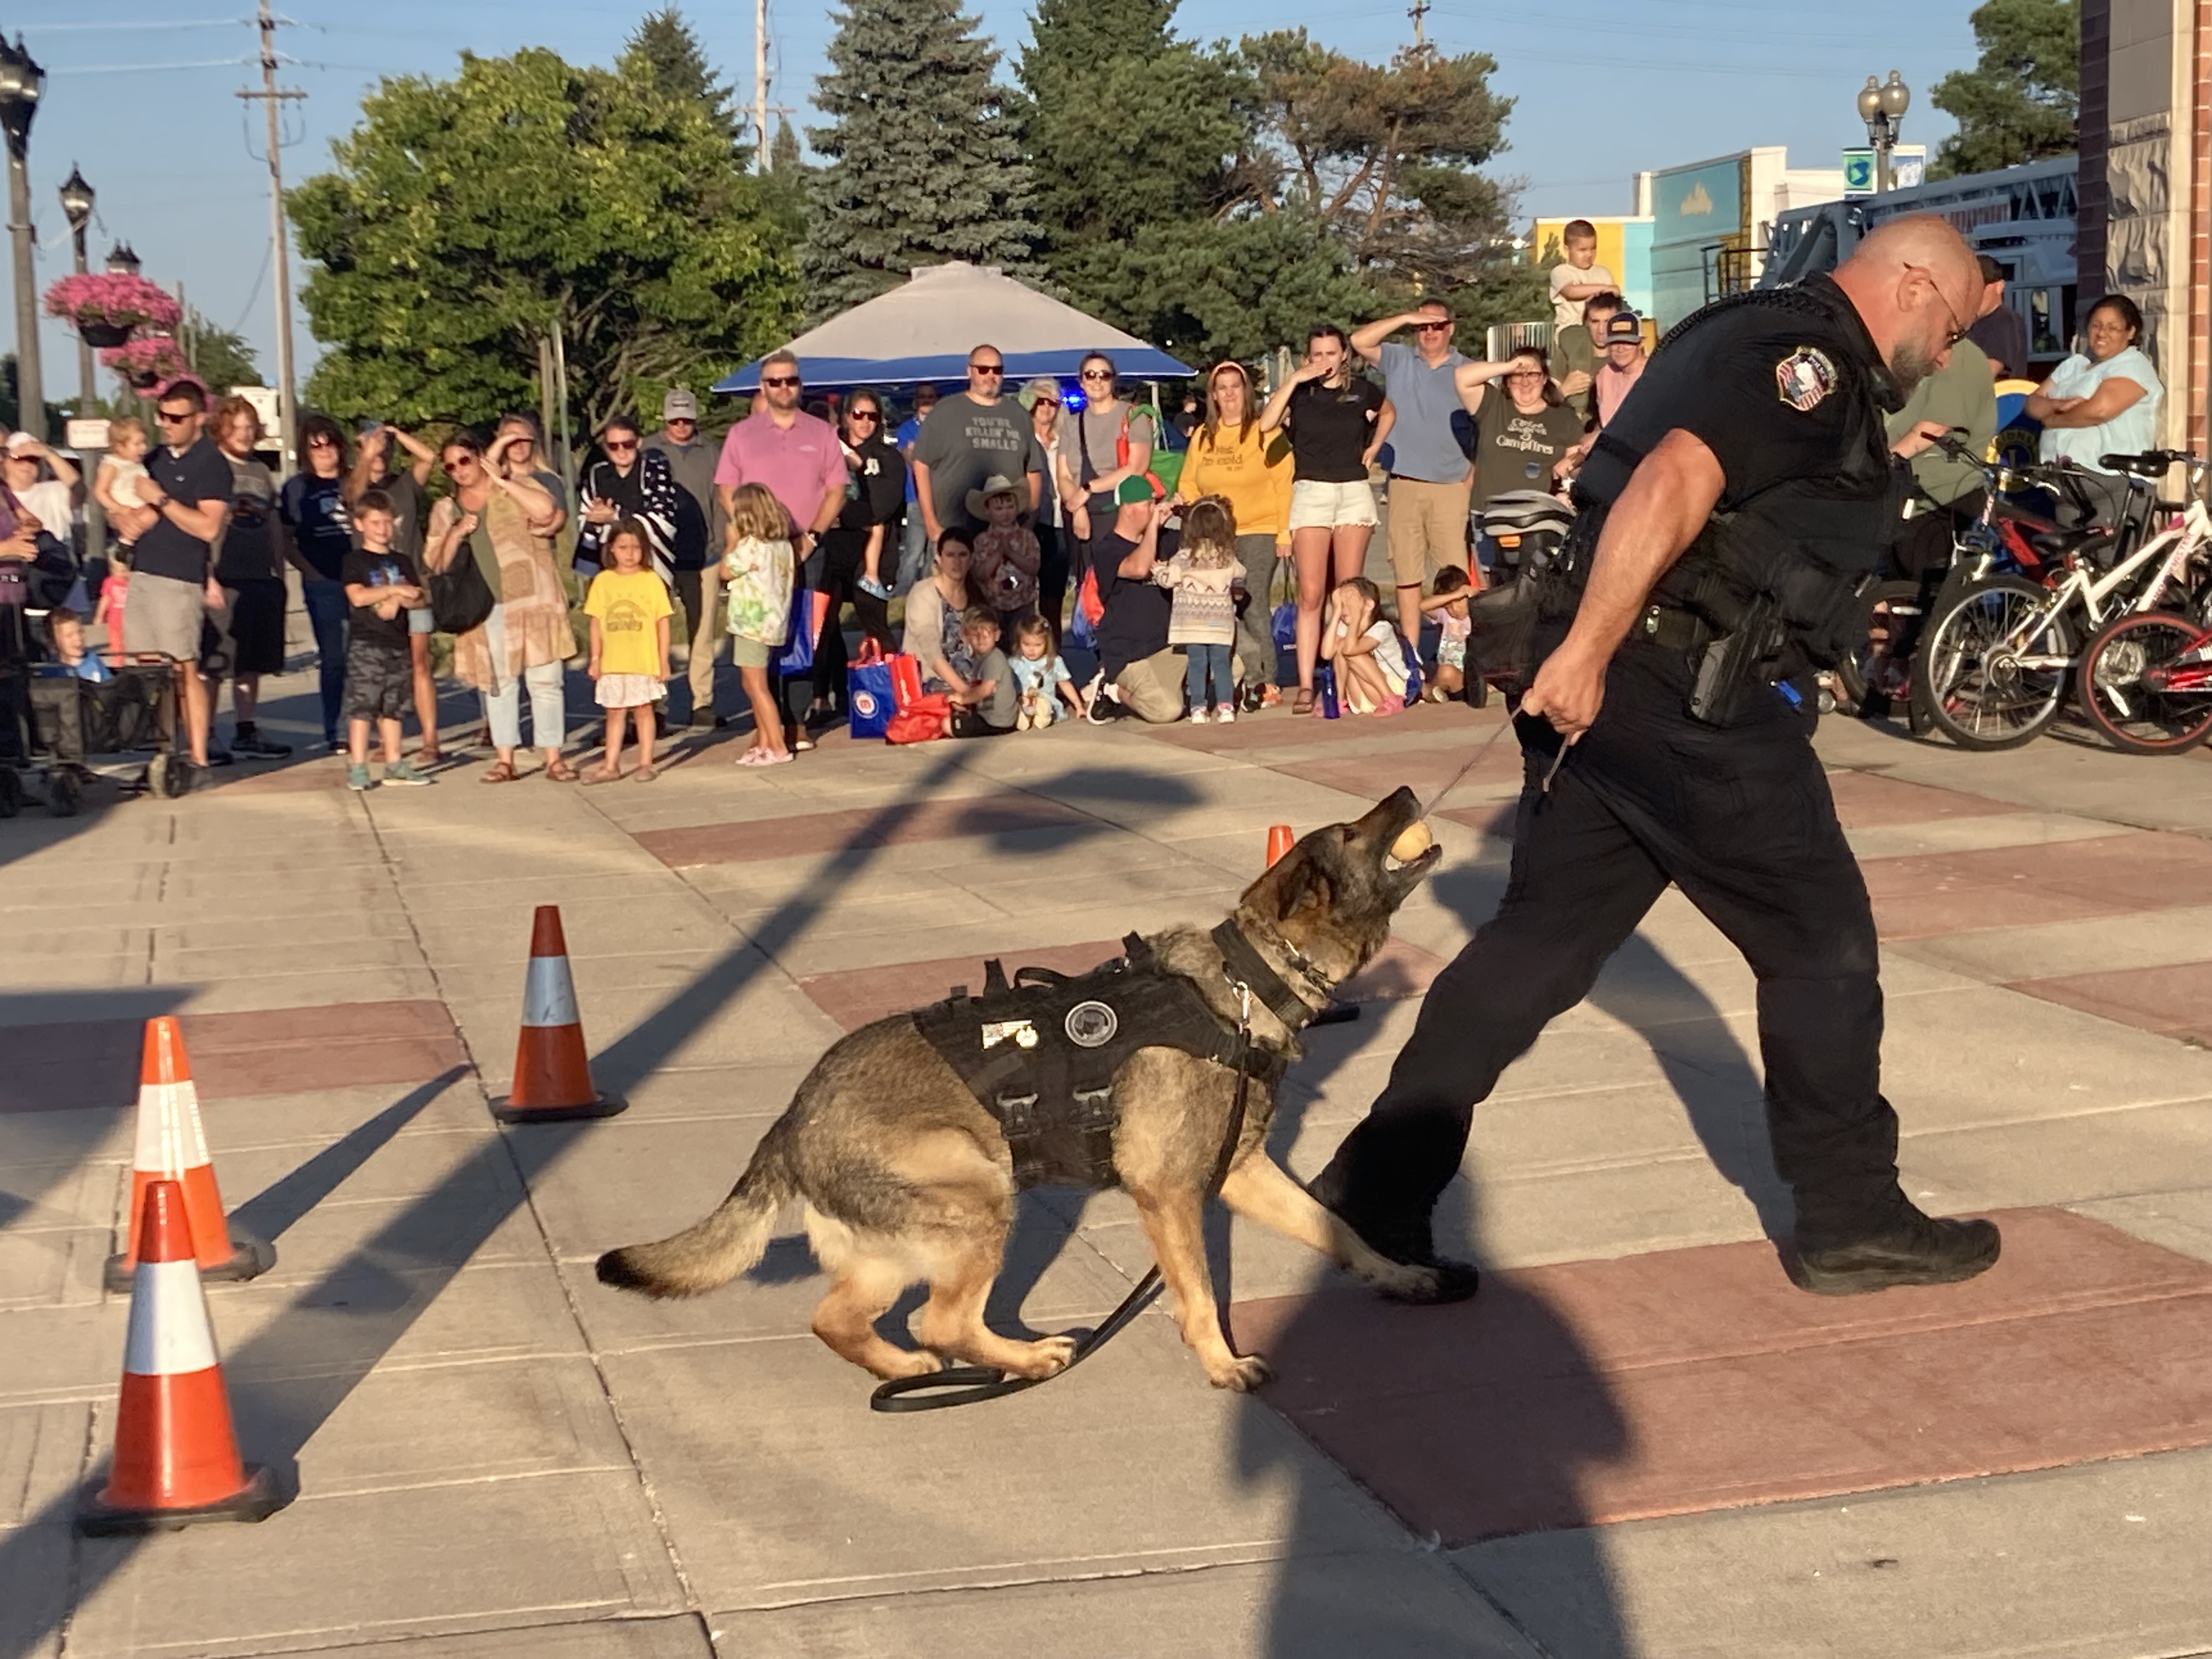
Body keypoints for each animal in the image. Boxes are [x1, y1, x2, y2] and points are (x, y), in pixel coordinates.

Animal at [597, 787, 1451, 1389]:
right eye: (1350, 834)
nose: (1409, 790)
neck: (1244, 986)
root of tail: (791, 1118)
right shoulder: (1171, 1195)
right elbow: (1202, 1293)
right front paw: (1219, 1364)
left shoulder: (1242, 1176)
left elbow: (1337, 1230)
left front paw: (1397, 1275)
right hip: (980, 1192)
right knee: (939, 1320)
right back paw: (1025, 1359)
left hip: (903, 1242)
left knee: (837, 1318)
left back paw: (907, 1370)